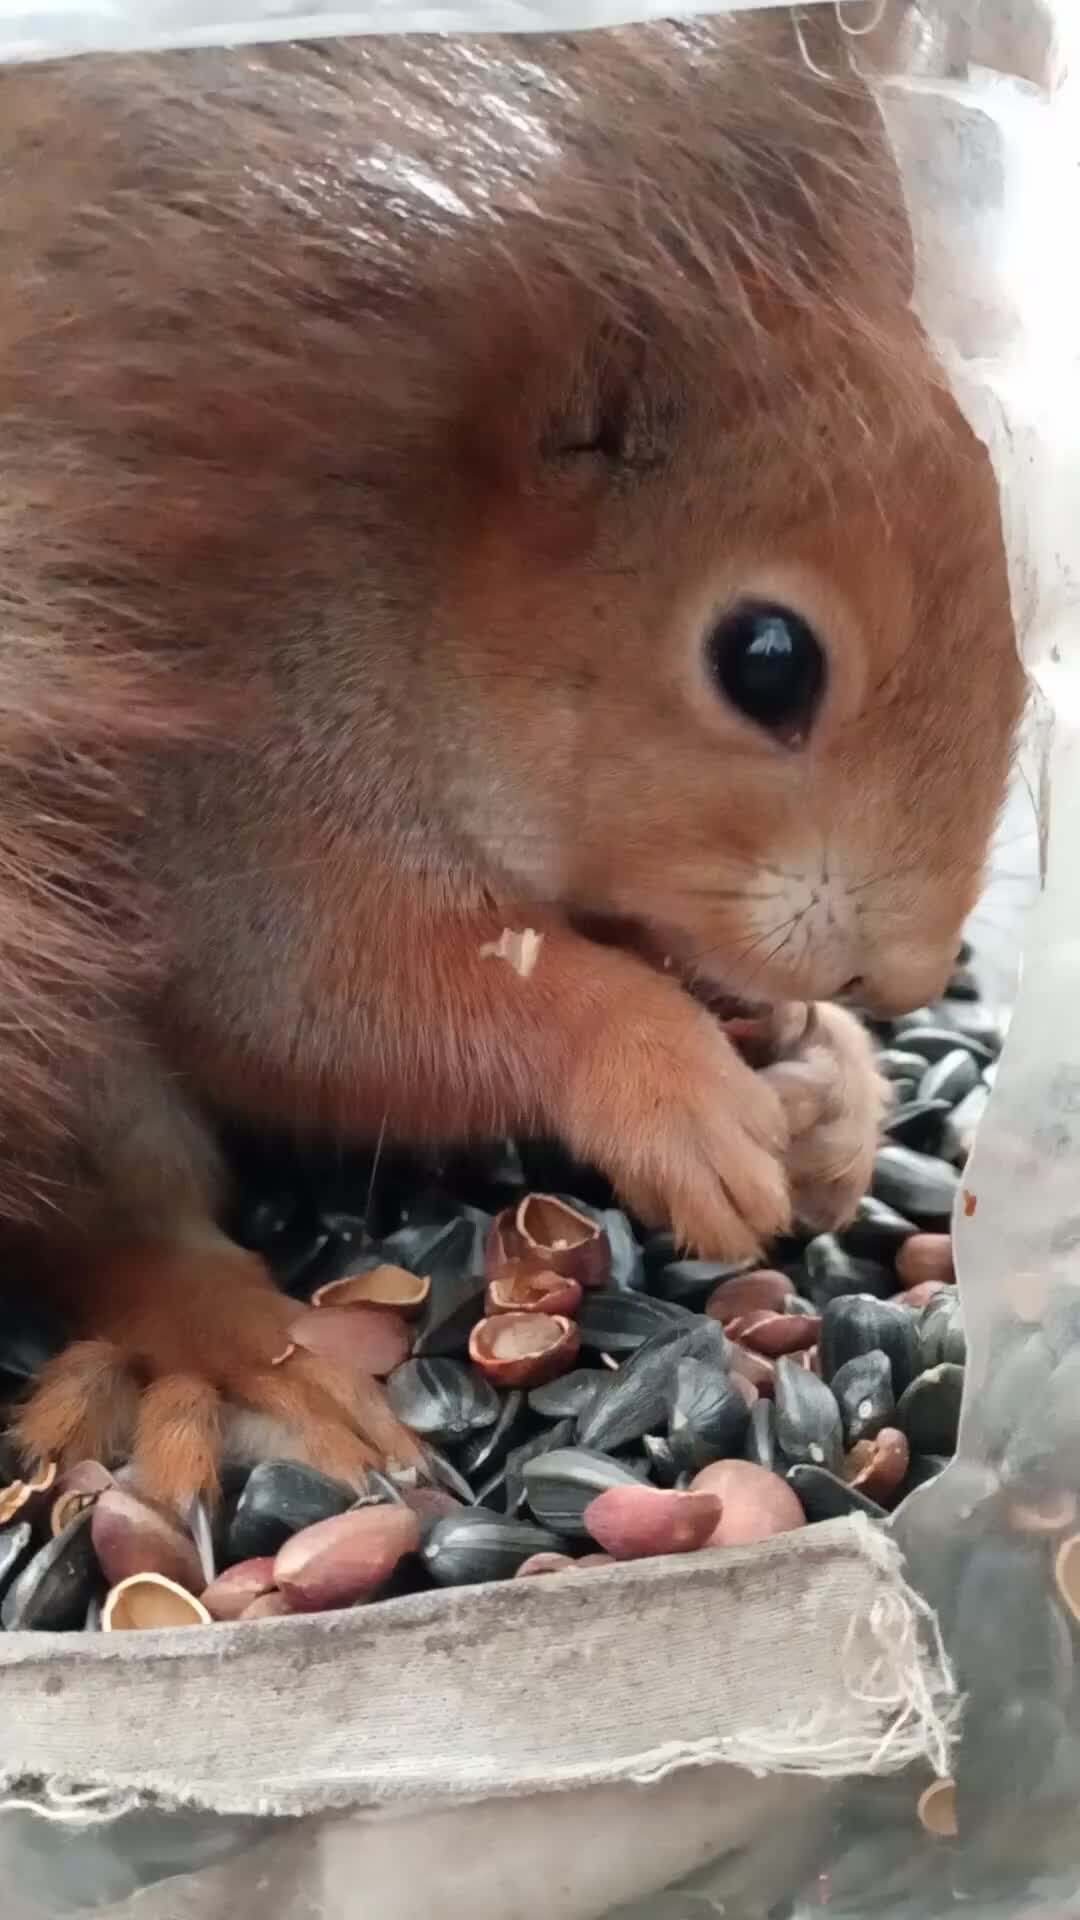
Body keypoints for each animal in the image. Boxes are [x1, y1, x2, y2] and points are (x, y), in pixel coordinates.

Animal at [0, 7, 1022, 1497]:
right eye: (766, 659)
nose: (902, 975)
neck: (410, 605)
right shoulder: (228, 801)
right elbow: (343, 998)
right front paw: (667, 1081)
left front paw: (833, 1082)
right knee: (110, 1224)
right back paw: (255, 1353)